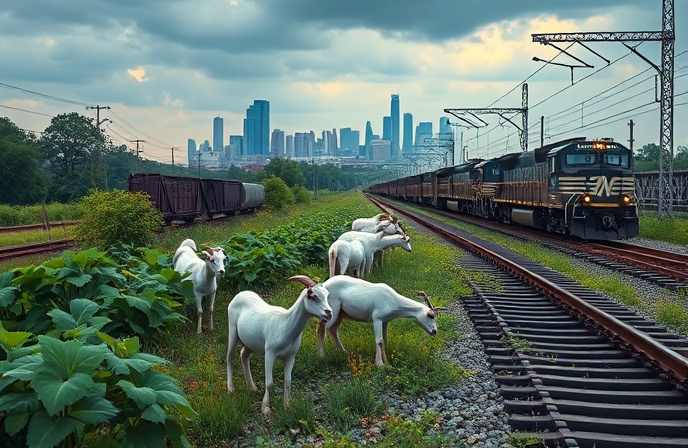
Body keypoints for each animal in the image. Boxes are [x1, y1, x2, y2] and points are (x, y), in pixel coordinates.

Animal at [226, 275, 332, 415]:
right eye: (312, 296)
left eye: (327, 295)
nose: (329, 313)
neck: (286, 324)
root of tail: (241, 294)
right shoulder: (269, 353)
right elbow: (269, 383)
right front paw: (265, 408)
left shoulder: (291, 356)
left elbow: (288, 381)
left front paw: (287, 406)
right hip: (232, 331)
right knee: (229, 357)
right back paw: (230, 388)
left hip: (251, 342)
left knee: (243, 355)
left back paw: (252, 388)